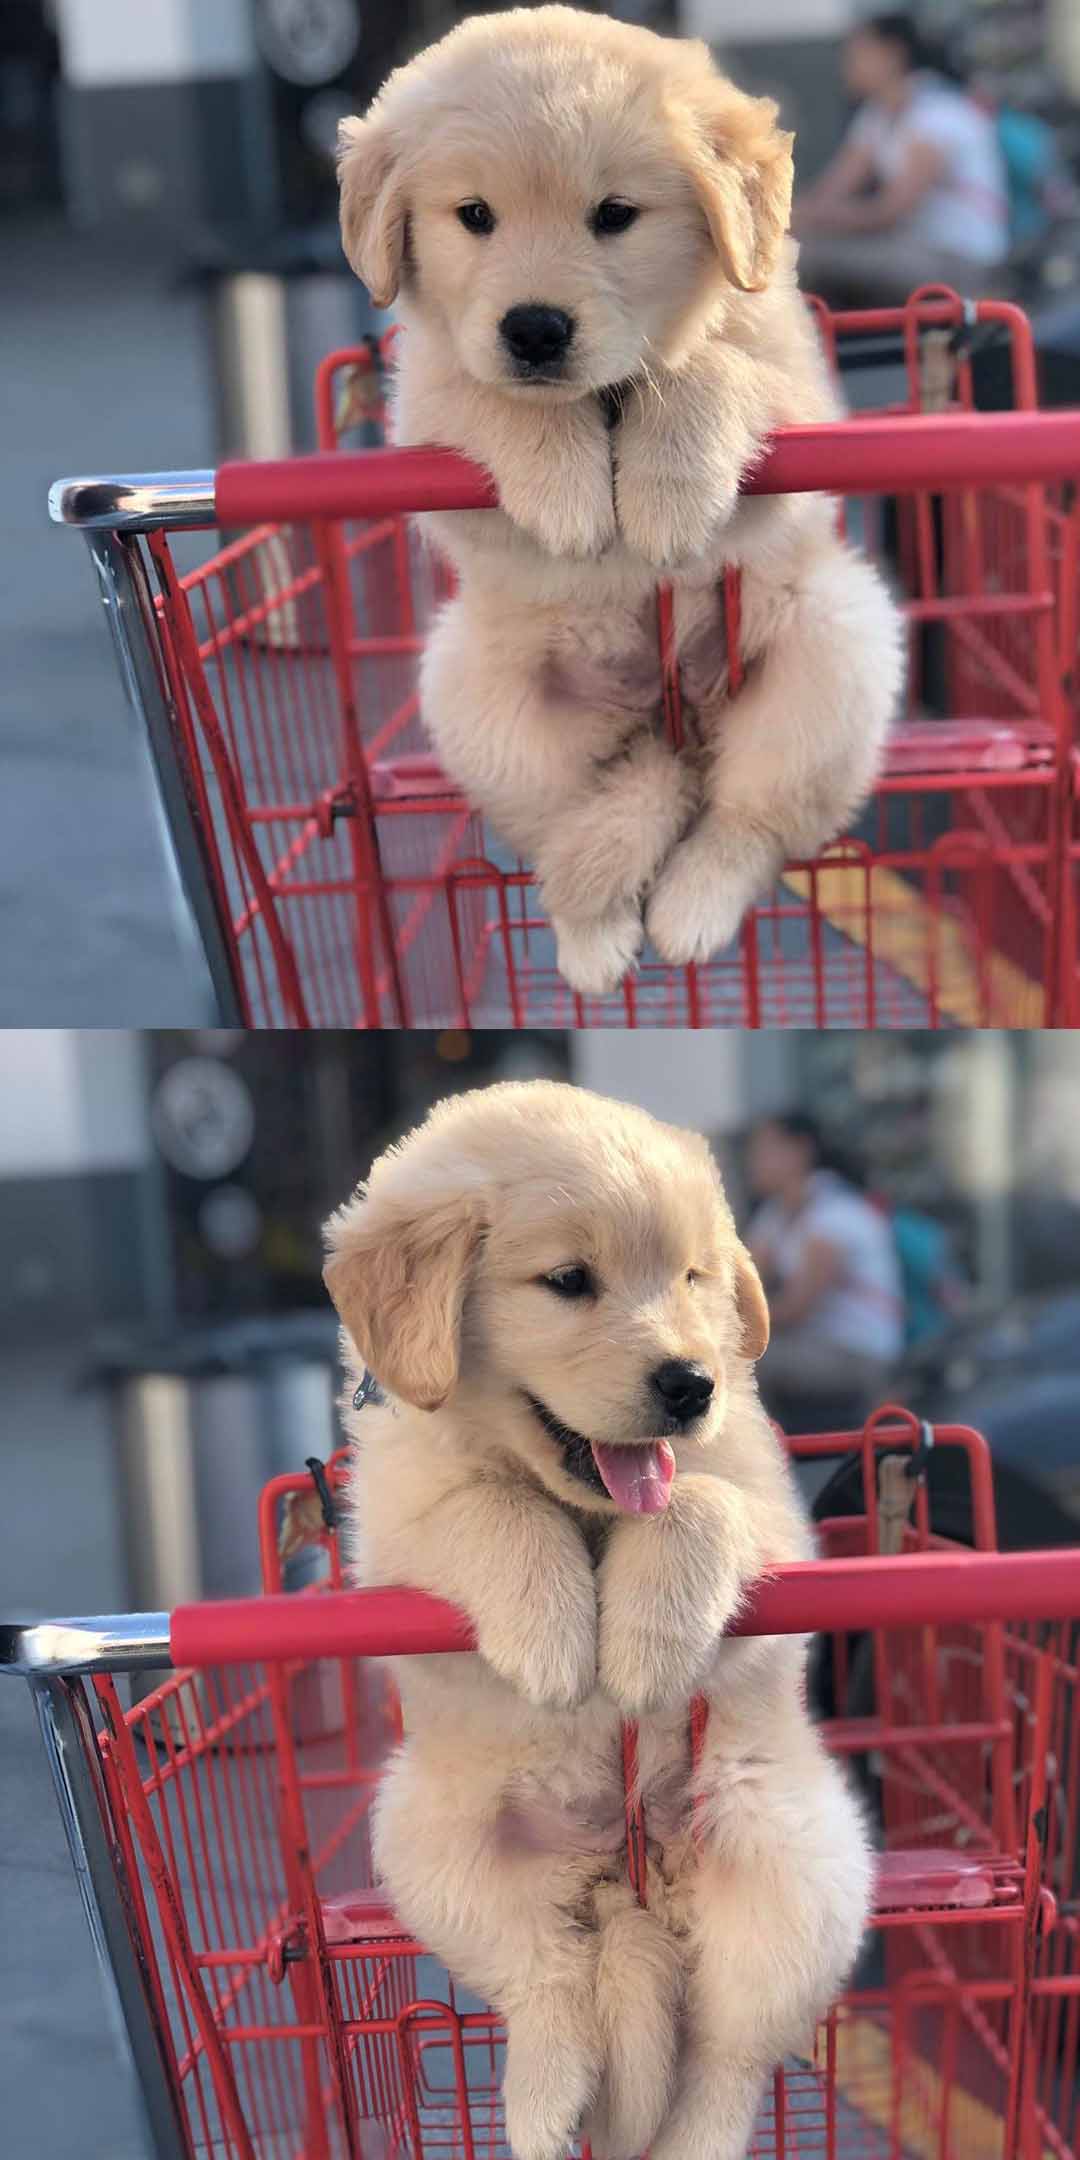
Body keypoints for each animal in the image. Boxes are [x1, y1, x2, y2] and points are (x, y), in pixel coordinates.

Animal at [321, 1088, 868, 2160]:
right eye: (569, 1281)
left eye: (694, 1276)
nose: (692, 1384)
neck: (591, 1511)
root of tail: (628, 1878)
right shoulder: (395, 1537)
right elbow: (491, 1505)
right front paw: (556, 1639)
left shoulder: (771, 1512)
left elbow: (698, 1497)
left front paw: (643, 1650)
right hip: (433, 1844)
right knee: (547, 1985)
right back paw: (541, 2103)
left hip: (793, 1867)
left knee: (727, 2056)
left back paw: (680, 2134)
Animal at [339, 6, 902, 993]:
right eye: (474, 216)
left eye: (615, 216)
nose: (534, 330)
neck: (603, 395)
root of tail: (672, 724)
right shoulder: (427, 420)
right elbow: (494, 397)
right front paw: (569, 489)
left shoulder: (802, 404)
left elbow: (706, 365)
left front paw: (665, 491)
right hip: (479, 700)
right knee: (570, 829)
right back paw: (593, 937)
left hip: (834, 650)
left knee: (748, 821)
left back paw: (691, 907)